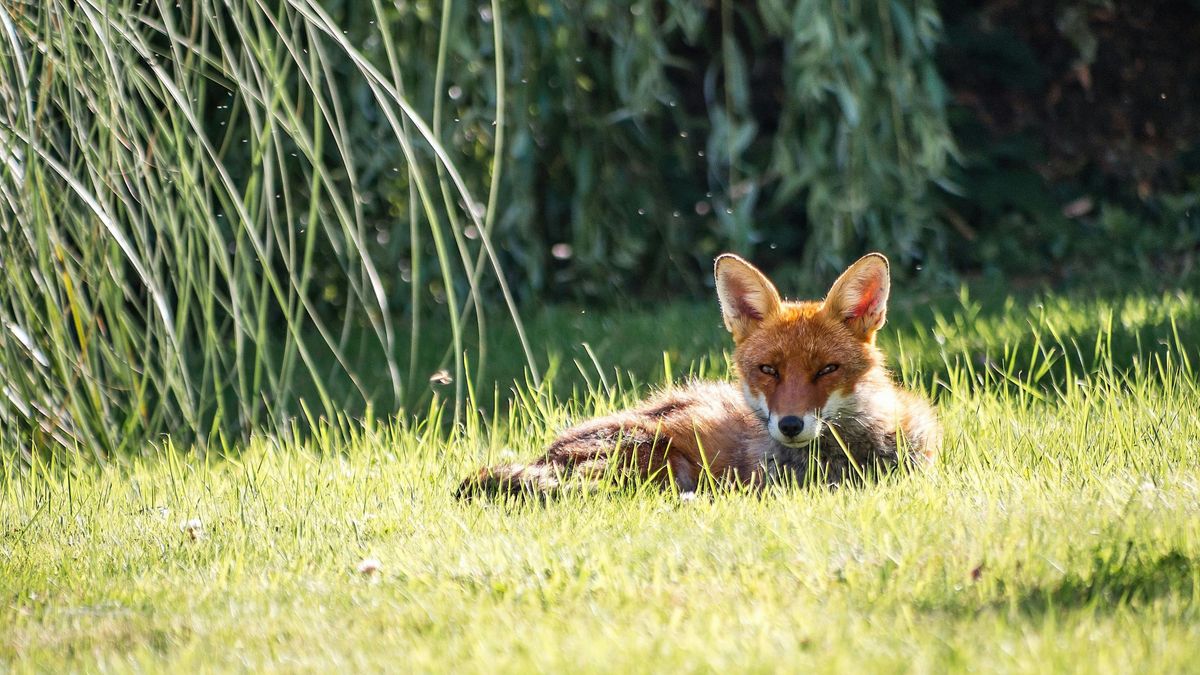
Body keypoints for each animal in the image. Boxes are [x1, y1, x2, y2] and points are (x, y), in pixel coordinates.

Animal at [456, 251, 936, 494]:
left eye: (827, 370)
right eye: (768, 370)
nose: (790, 424)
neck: (851, 457)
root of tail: (544, 454)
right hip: (659, 456)